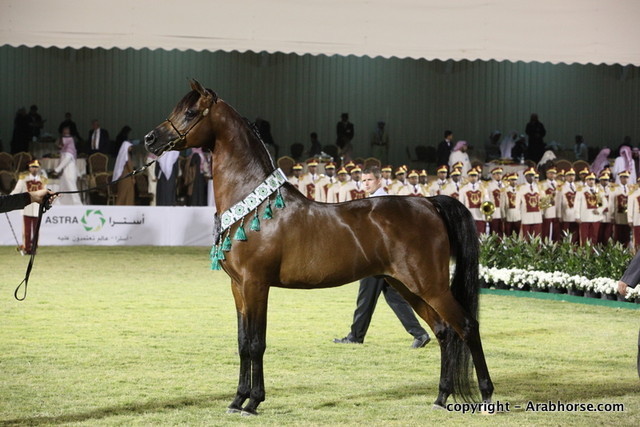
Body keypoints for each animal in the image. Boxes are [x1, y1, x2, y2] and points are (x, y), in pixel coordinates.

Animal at [144, 79, 493, 415]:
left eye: (190, 113)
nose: (150, 139)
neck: (256, 204)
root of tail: (429, 202)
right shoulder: (238, 286)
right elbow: (243, 342)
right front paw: (237, 399)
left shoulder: (256, 284)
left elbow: (257, 343)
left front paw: (253, 402)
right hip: (408, 287)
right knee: (444, 331)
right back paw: (441, 397)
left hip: (431, 287)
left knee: (467, 326)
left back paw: (486, 394)